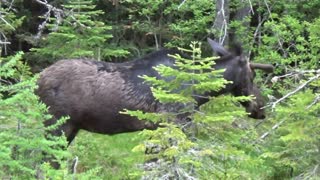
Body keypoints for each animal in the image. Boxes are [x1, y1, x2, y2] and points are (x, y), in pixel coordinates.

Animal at [36, 38, 274, 145]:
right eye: (252, 75)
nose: (261, 108)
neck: (199, 94)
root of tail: (37, 80)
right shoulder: (174, 121)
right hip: (57, 125)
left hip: (70, 128)